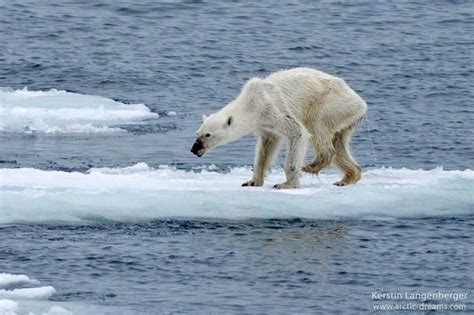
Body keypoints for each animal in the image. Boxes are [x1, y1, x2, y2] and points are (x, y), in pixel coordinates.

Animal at [191, 67, 368, 189]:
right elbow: (266, 147)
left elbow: (298, 133)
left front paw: (286, 184)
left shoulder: (272, 109)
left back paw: (312, 166)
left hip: (331, 104)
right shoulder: (264, 125)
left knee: (317, 126)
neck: (250, 103)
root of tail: (361, 102)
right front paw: (252, 181)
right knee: (339, 143)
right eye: (197, 132)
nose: (194, 149)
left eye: (208, 134)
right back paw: (347, 178)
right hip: (345, 116)